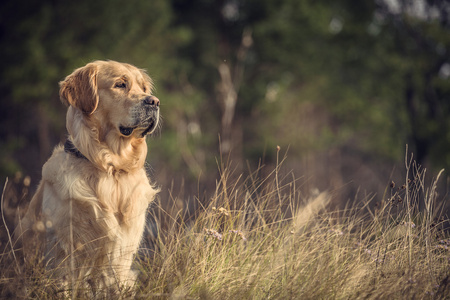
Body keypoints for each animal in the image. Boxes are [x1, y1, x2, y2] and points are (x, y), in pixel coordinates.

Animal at [18, 60, 161, 290]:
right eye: (120, 84)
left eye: (144, 88)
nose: (155, 102)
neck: (110, 168)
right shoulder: (64, 252)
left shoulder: (122, 254)